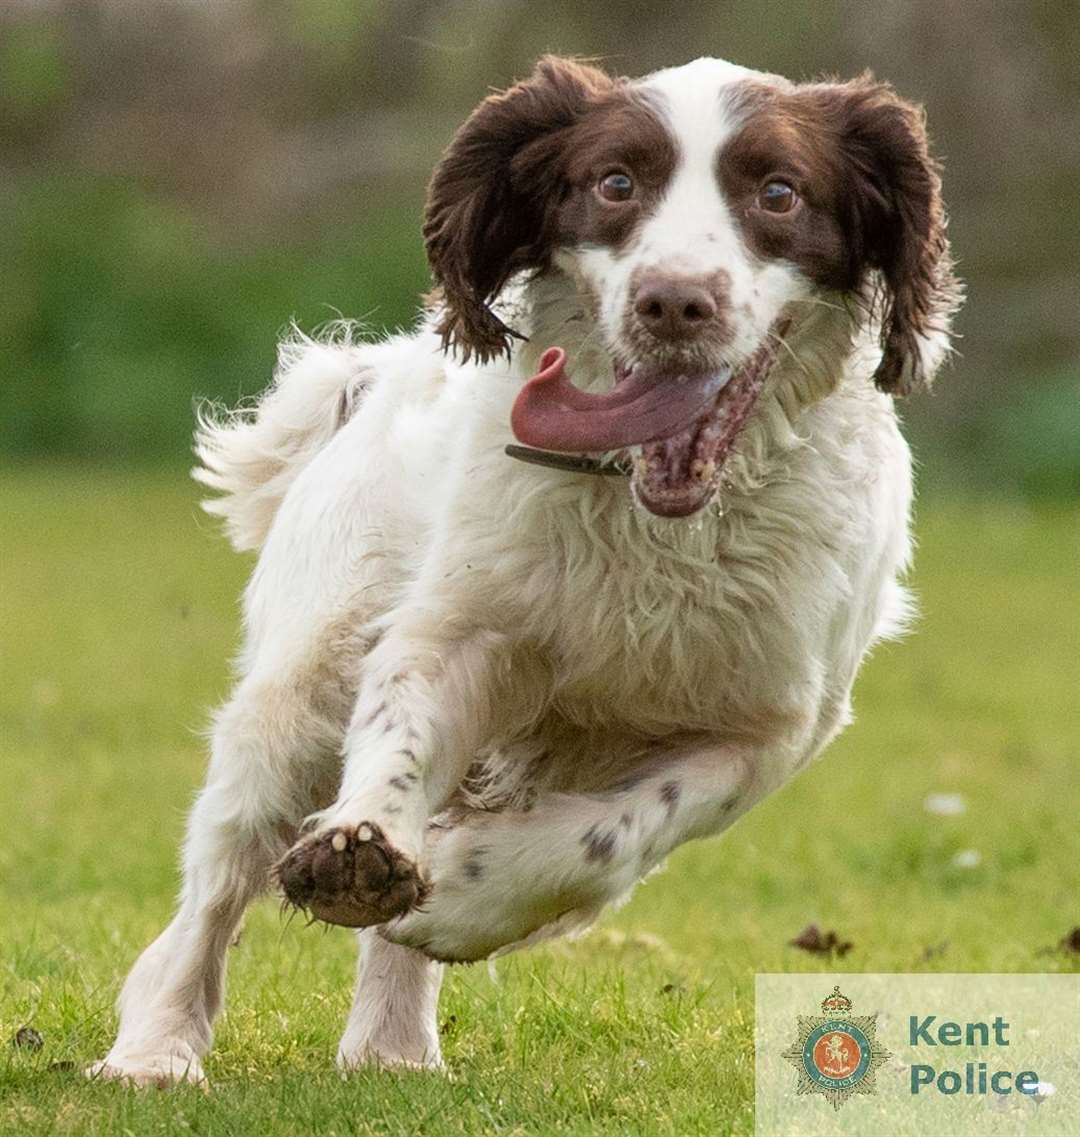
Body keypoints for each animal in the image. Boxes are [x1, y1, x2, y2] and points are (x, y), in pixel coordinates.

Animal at [90, 53, 954, 1082]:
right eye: (615, 183)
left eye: (779, 193)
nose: (674, 302)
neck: (656, 524)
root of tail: (373, 376)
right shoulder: (458, 628)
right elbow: (398, 736)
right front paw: (359, 843)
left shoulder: (768, 728)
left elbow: (612, 835)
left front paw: (462, 895)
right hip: (298, 694)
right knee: (213, 889)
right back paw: (156, 1048)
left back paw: (393, 1051)